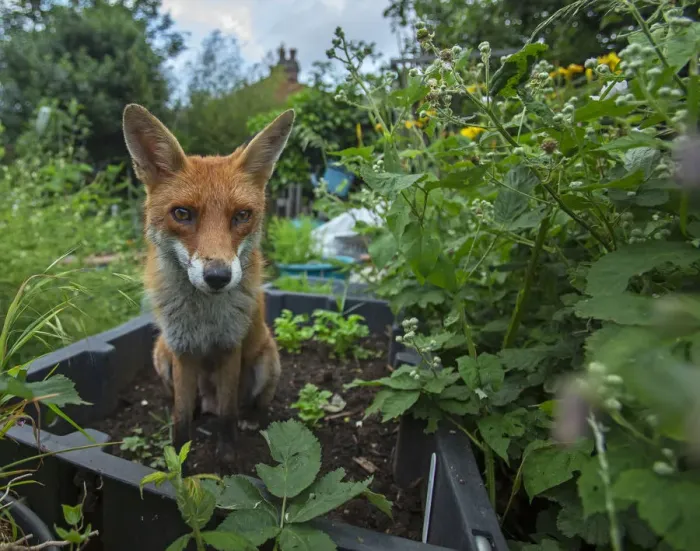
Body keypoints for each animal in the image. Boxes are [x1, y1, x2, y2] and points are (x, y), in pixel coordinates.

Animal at [121, 103, 295, 464]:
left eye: (242, 216)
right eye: (182, 214)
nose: (218, 277)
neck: (203, 319)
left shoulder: (230, 348)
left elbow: (228, 414)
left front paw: (227, 457)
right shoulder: (181, 350)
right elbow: (180, 417)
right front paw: (178, 460)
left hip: (267, 360)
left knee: (249, 405)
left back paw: (250, 419)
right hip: (160, 354)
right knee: (193, 404)